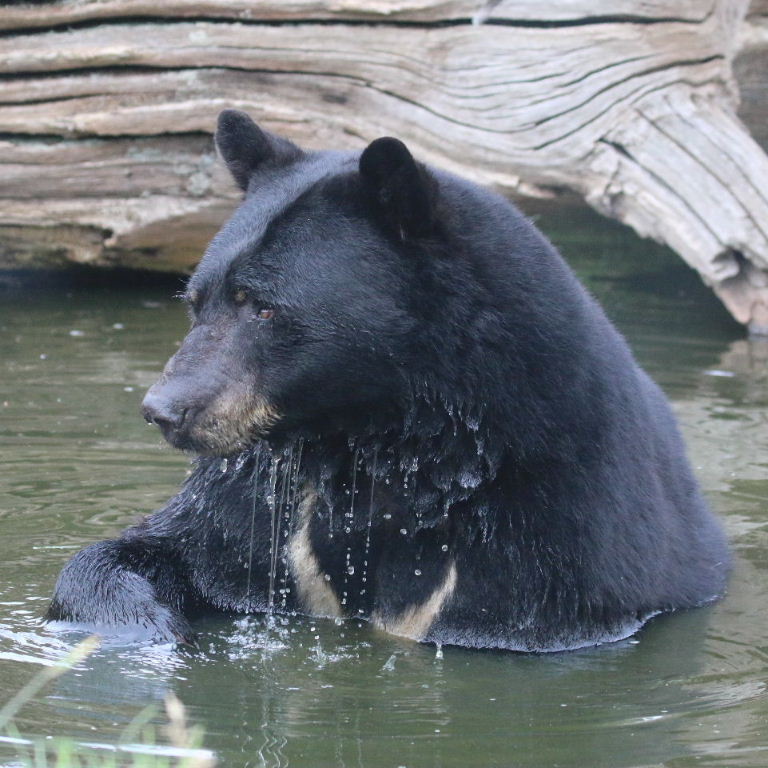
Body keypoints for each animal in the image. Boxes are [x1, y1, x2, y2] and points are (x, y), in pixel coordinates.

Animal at [47, 109, 730, 651]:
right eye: (197, 301)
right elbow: (167, 547)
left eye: (263, 307)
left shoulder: (555, 524)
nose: (164, 408)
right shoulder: (261, 498)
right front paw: (146, 626)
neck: (379, 441)